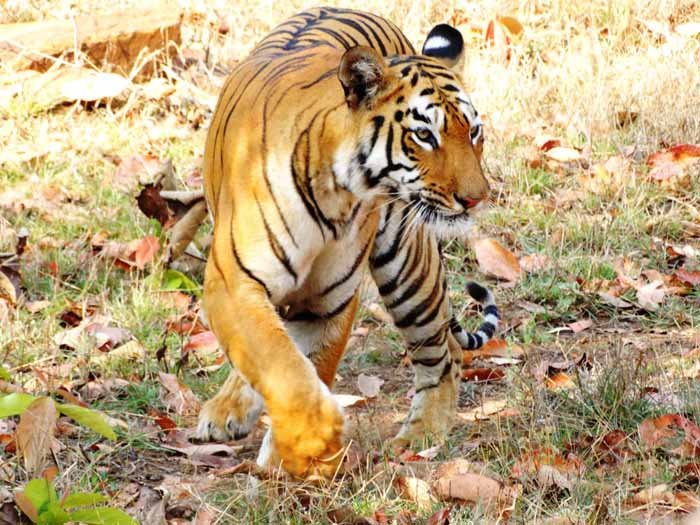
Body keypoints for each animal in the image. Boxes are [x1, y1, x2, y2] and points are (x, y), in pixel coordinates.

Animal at [196, 6, 498, 479]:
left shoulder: (327, 300)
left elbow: (309, 368)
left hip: (406, 262)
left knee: (444, 353)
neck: (336, 191)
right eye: (424, 135)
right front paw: (313, 442)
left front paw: (298, 457)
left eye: (474, 132)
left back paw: (420, 436)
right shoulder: (234, 283)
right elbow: (280, 365)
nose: (476, 197)